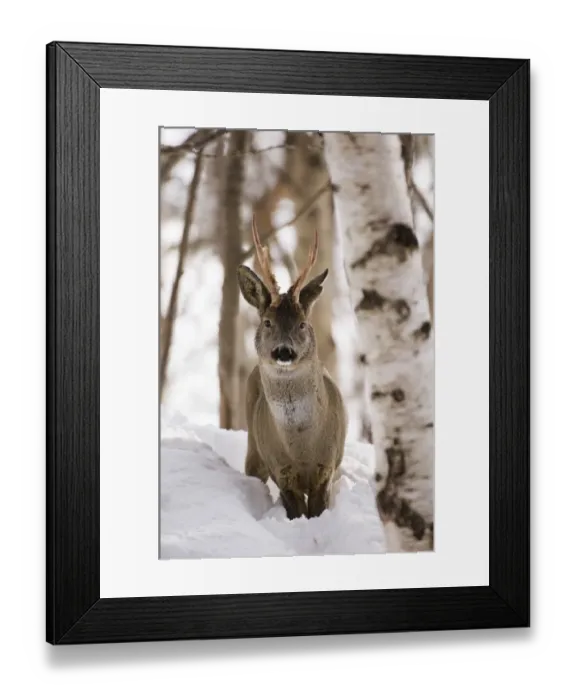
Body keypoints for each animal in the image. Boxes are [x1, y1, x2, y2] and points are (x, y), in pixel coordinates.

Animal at [237, 216, 348, 521]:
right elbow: (295, 511)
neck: (301, 448)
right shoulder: (281, 472)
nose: (283, 351)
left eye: (301, 323)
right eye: (267, 322)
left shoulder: (326, 468)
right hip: (253, 449)